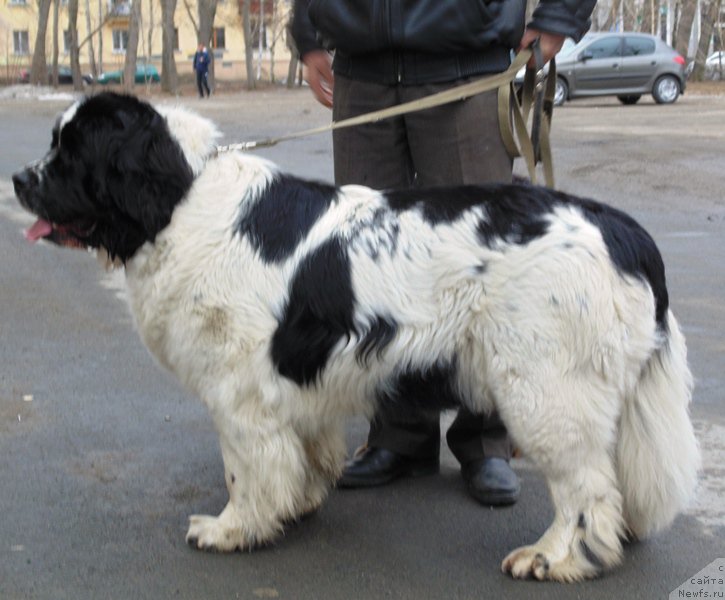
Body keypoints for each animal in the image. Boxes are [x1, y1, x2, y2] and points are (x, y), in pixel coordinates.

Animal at [11, 92, 700, 580]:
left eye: (70, 153)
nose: (18, 179)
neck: (177, 199)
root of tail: (625, 232)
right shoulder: (293, 381)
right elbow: (300, 452)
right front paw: (297, 502)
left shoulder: (239, 390)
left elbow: (243, 468)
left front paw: (233, 528)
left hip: (543, 386)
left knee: (584, 484)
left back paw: (555, 558)